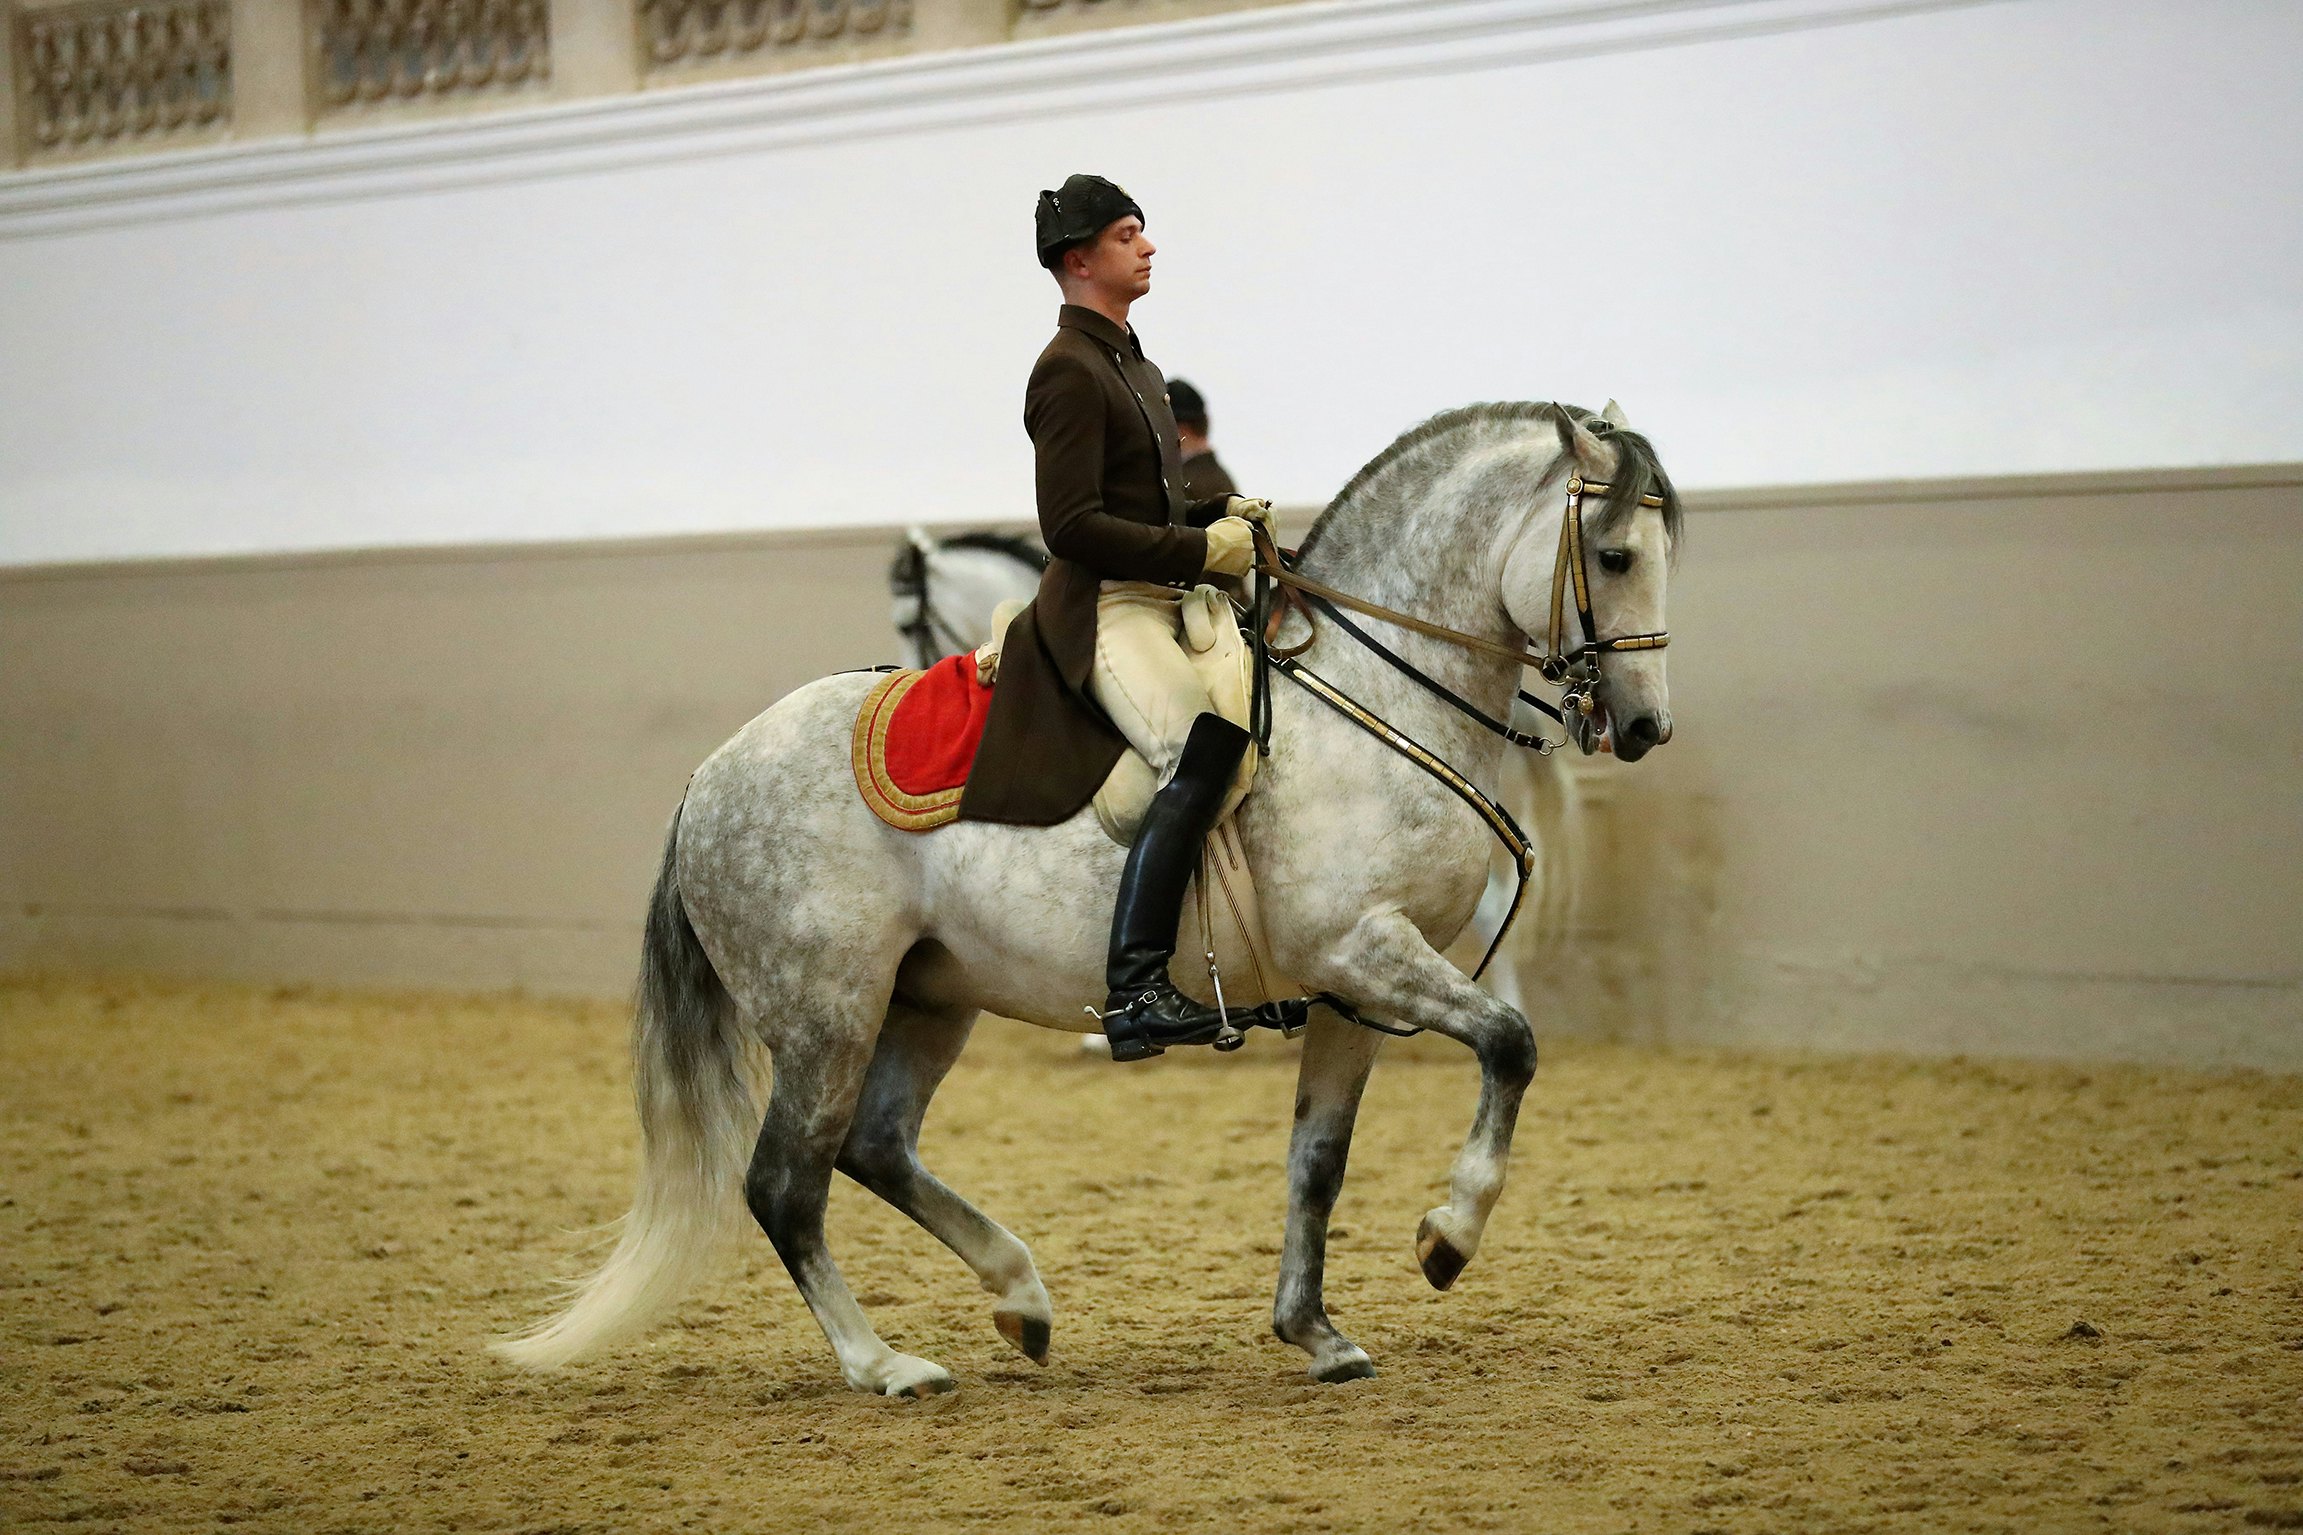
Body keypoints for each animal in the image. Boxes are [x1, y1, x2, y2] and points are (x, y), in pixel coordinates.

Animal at [504, 402, 1685, 1399]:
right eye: (1615, 554)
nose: (1641, 729)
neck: (1379, 698)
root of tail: (709, 775)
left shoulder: (1354, 991)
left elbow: (1319, 1159)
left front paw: (1315, 1332)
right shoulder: (1365, 951)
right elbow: (1510, 1043)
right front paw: (1448, 1234)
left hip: (927, 997)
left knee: (872, 1145)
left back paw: (1020, 1297)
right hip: (823, 1010)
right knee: (785, 1183)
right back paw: (885, 1363)